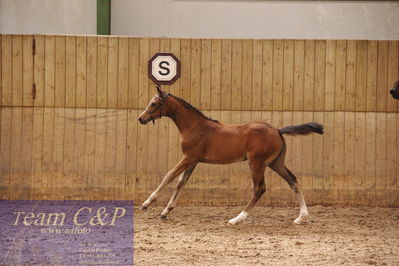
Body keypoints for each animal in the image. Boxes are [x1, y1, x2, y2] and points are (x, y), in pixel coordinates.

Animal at [139, 87, 324, 224]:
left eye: (154, 103)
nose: (141, 118)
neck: (194, 126)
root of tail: (278, 130)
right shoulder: (194, 160)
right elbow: (181, 182)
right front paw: (165, 211)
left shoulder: (188, 157)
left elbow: (169, 176)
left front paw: (146, 203)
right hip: (275, 163)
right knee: (293, 180)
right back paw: (301, 217)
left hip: (257, 163)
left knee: (259, 189)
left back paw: (237, 219)